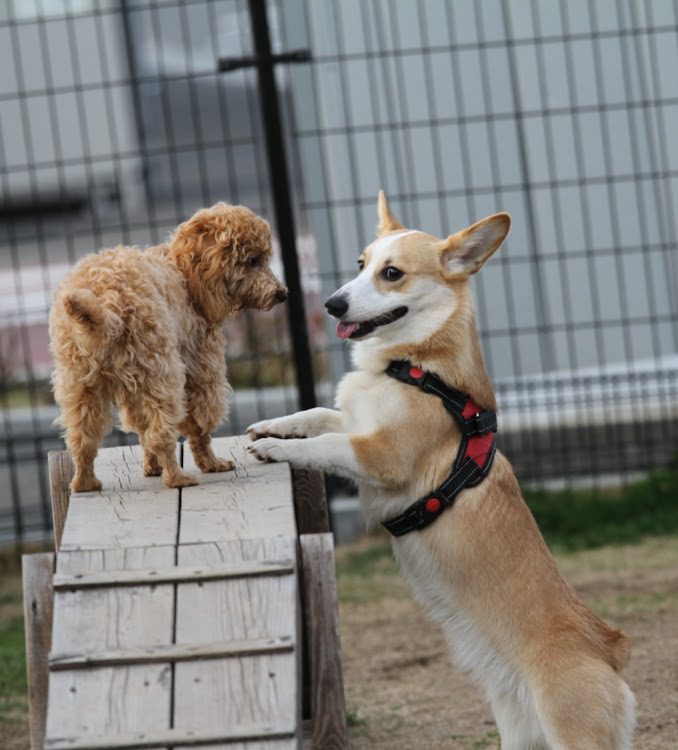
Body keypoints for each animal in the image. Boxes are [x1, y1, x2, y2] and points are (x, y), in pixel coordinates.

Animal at [49, 203, 288, 494]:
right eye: (253, 260)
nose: (282, 294)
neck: (184, 274)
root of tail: (107, 306)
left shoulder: (132, 388)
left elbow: (141, 428)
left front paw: (152, 467)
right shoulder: (202, 369)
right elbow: (199, 426)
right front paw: (211, 464)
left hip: (82, 385)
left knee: (82, 437)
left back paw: (85, 482)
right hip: (160, 372)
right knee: (162, 433)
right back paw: (177, 478)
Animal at [248, 195, 636, 750]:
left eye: (392, 273)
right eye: (361, 264)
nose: (332, 305)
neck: (415, 367)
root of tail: (608, 649)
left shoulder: (379, 454)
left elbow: (325, 444)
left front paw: (276, 451)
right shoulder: (355, 424)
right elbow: (316, 415)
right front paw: (271, 427)